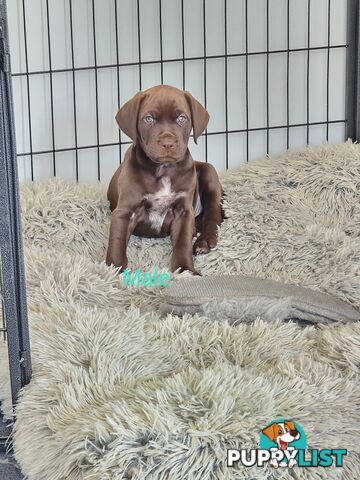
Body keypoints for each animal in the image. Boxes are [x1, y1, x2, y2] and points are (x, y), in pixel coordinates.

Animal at [105, 84, 222, 274]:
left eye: (181, 118)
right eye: (149, 119)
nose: (168, 143)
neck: (163, 169)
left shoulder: (183, 211)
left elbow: (182, 243)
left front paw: (185, 270)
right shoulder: (125, 211)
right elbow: (117, 241)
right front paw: (115, 271)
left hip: (210, 174)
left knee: (213, 215)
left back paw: (204, 241)